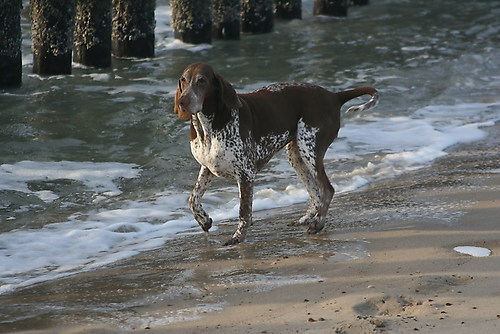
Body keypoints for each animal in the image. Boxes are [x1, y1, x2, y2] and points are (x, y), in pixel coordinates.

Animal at [174, 62, 376, 245]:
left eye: (202, 80)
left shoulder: (245, 174)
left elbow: (243, 212)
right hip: (296, 155)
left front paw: (238, 237)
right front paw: (204, 220)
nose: (182, 101)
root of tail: (333, 96)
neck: (209, 127)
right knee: (315, 192)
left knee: (326, 190)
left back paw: (318, 224)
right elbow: (193, 199)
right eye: (183, 80)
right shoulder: (207, 168)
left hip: (309, 149)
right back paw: (306, 219)